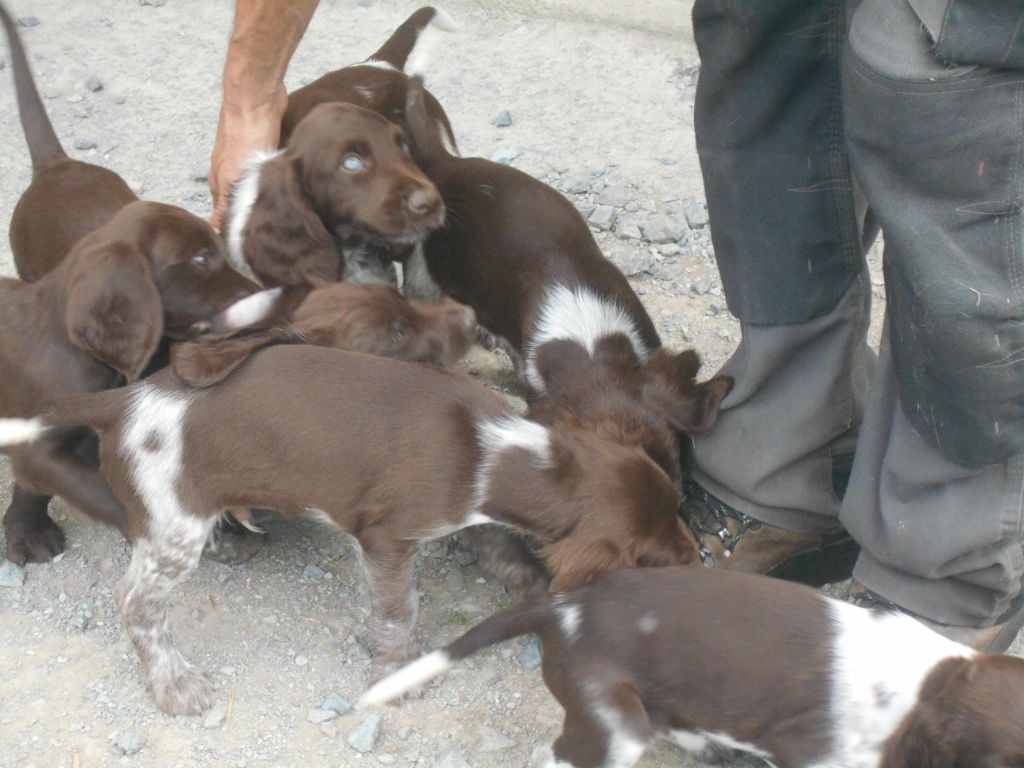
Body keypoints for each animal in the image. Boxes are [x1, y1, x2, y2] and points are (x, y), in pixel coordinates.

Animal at [0, 346, 700, 720]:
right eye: (651, 556)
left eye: (680, 502)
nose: (698, 560)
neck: (500, 451)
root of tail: (123, 399)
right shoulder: (387, 538)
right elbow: (398, 610)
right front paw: (393, 669)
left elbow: (498, 542)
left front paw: (523, 576)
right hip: (173, 529)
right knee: (137, 605)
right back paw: (175, 683)